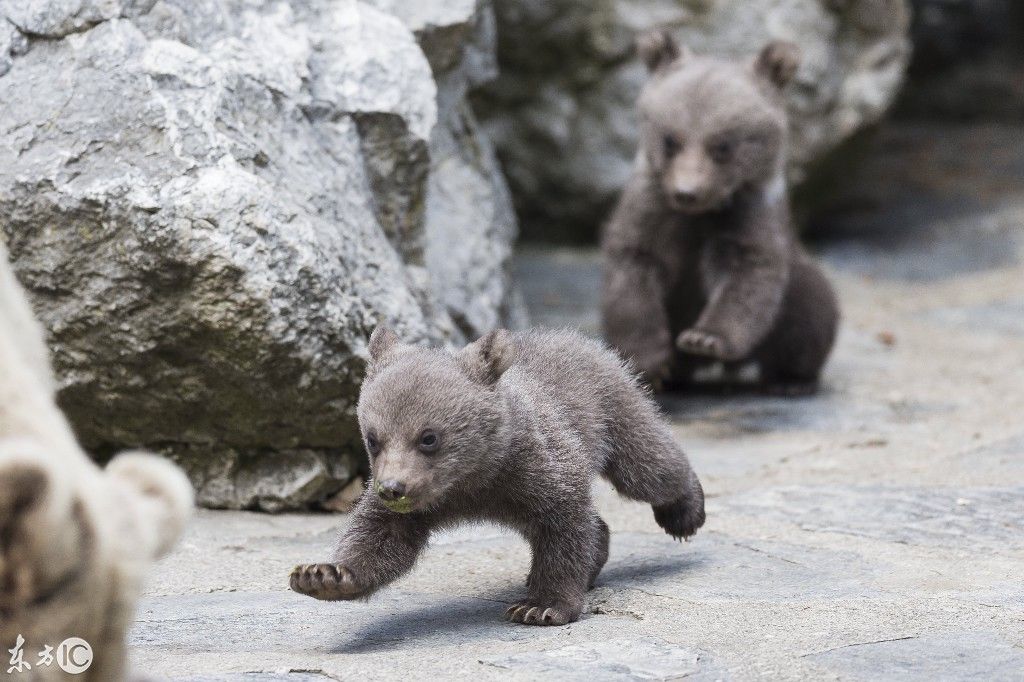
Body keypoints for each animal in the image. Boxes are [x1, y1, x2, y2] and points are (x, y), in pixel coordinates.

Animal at [288, 327, 704, 622]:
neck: (472, 478)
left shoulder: (535, 467)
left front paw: (541, 606)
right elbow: (381, 539)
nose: (394, 488)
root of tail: (579, 337)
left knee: (647, 466)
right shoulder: (431, 500)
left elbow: (564, 525)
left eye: (428, 437)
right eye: (373, 438)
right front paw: (322, 576)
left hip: (612, 409)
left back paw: (685, 512)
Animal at [598, 31, 839, 393]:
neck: (701, 215)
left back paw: (790, 379)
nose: (687, 192)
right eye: (670, 140)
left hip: (799, 281)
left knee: (810, 309)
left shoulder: (748, 214)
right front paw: (651, 364)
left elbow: (746, 275)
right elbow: (633, 269)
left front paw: (704, 337)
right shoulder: (653, 209)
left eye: (723, 145)